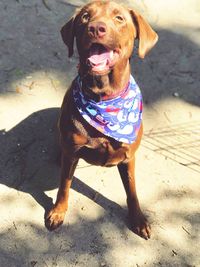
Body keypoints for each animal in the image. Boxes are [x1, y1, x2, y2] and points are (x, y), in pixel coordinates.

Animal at [45, 0, 158, 241]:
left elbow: (132, 191)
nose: (96, 28)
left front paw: (138, 219)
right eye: (85, 17)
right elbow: (64, 186)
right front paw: (58, 212)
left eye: (119, 18)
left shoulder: (128, 157)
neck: (103, 97)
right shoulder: (72, 153)